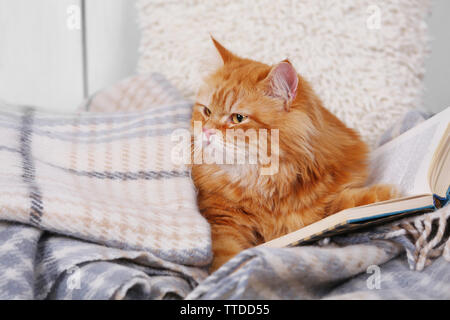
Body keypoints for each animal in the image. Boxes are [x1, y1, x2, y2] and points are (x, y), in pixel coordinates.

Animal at [190, 38, 398, 272]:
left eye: (238, 118)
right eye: (206, 112)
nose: (206, 130)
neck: (266, 182)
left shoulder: (318, 209)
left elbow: (340, 206)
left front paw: (385, 197)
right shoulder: (223, 220)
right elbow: (226, 254)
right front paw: (227, 272)